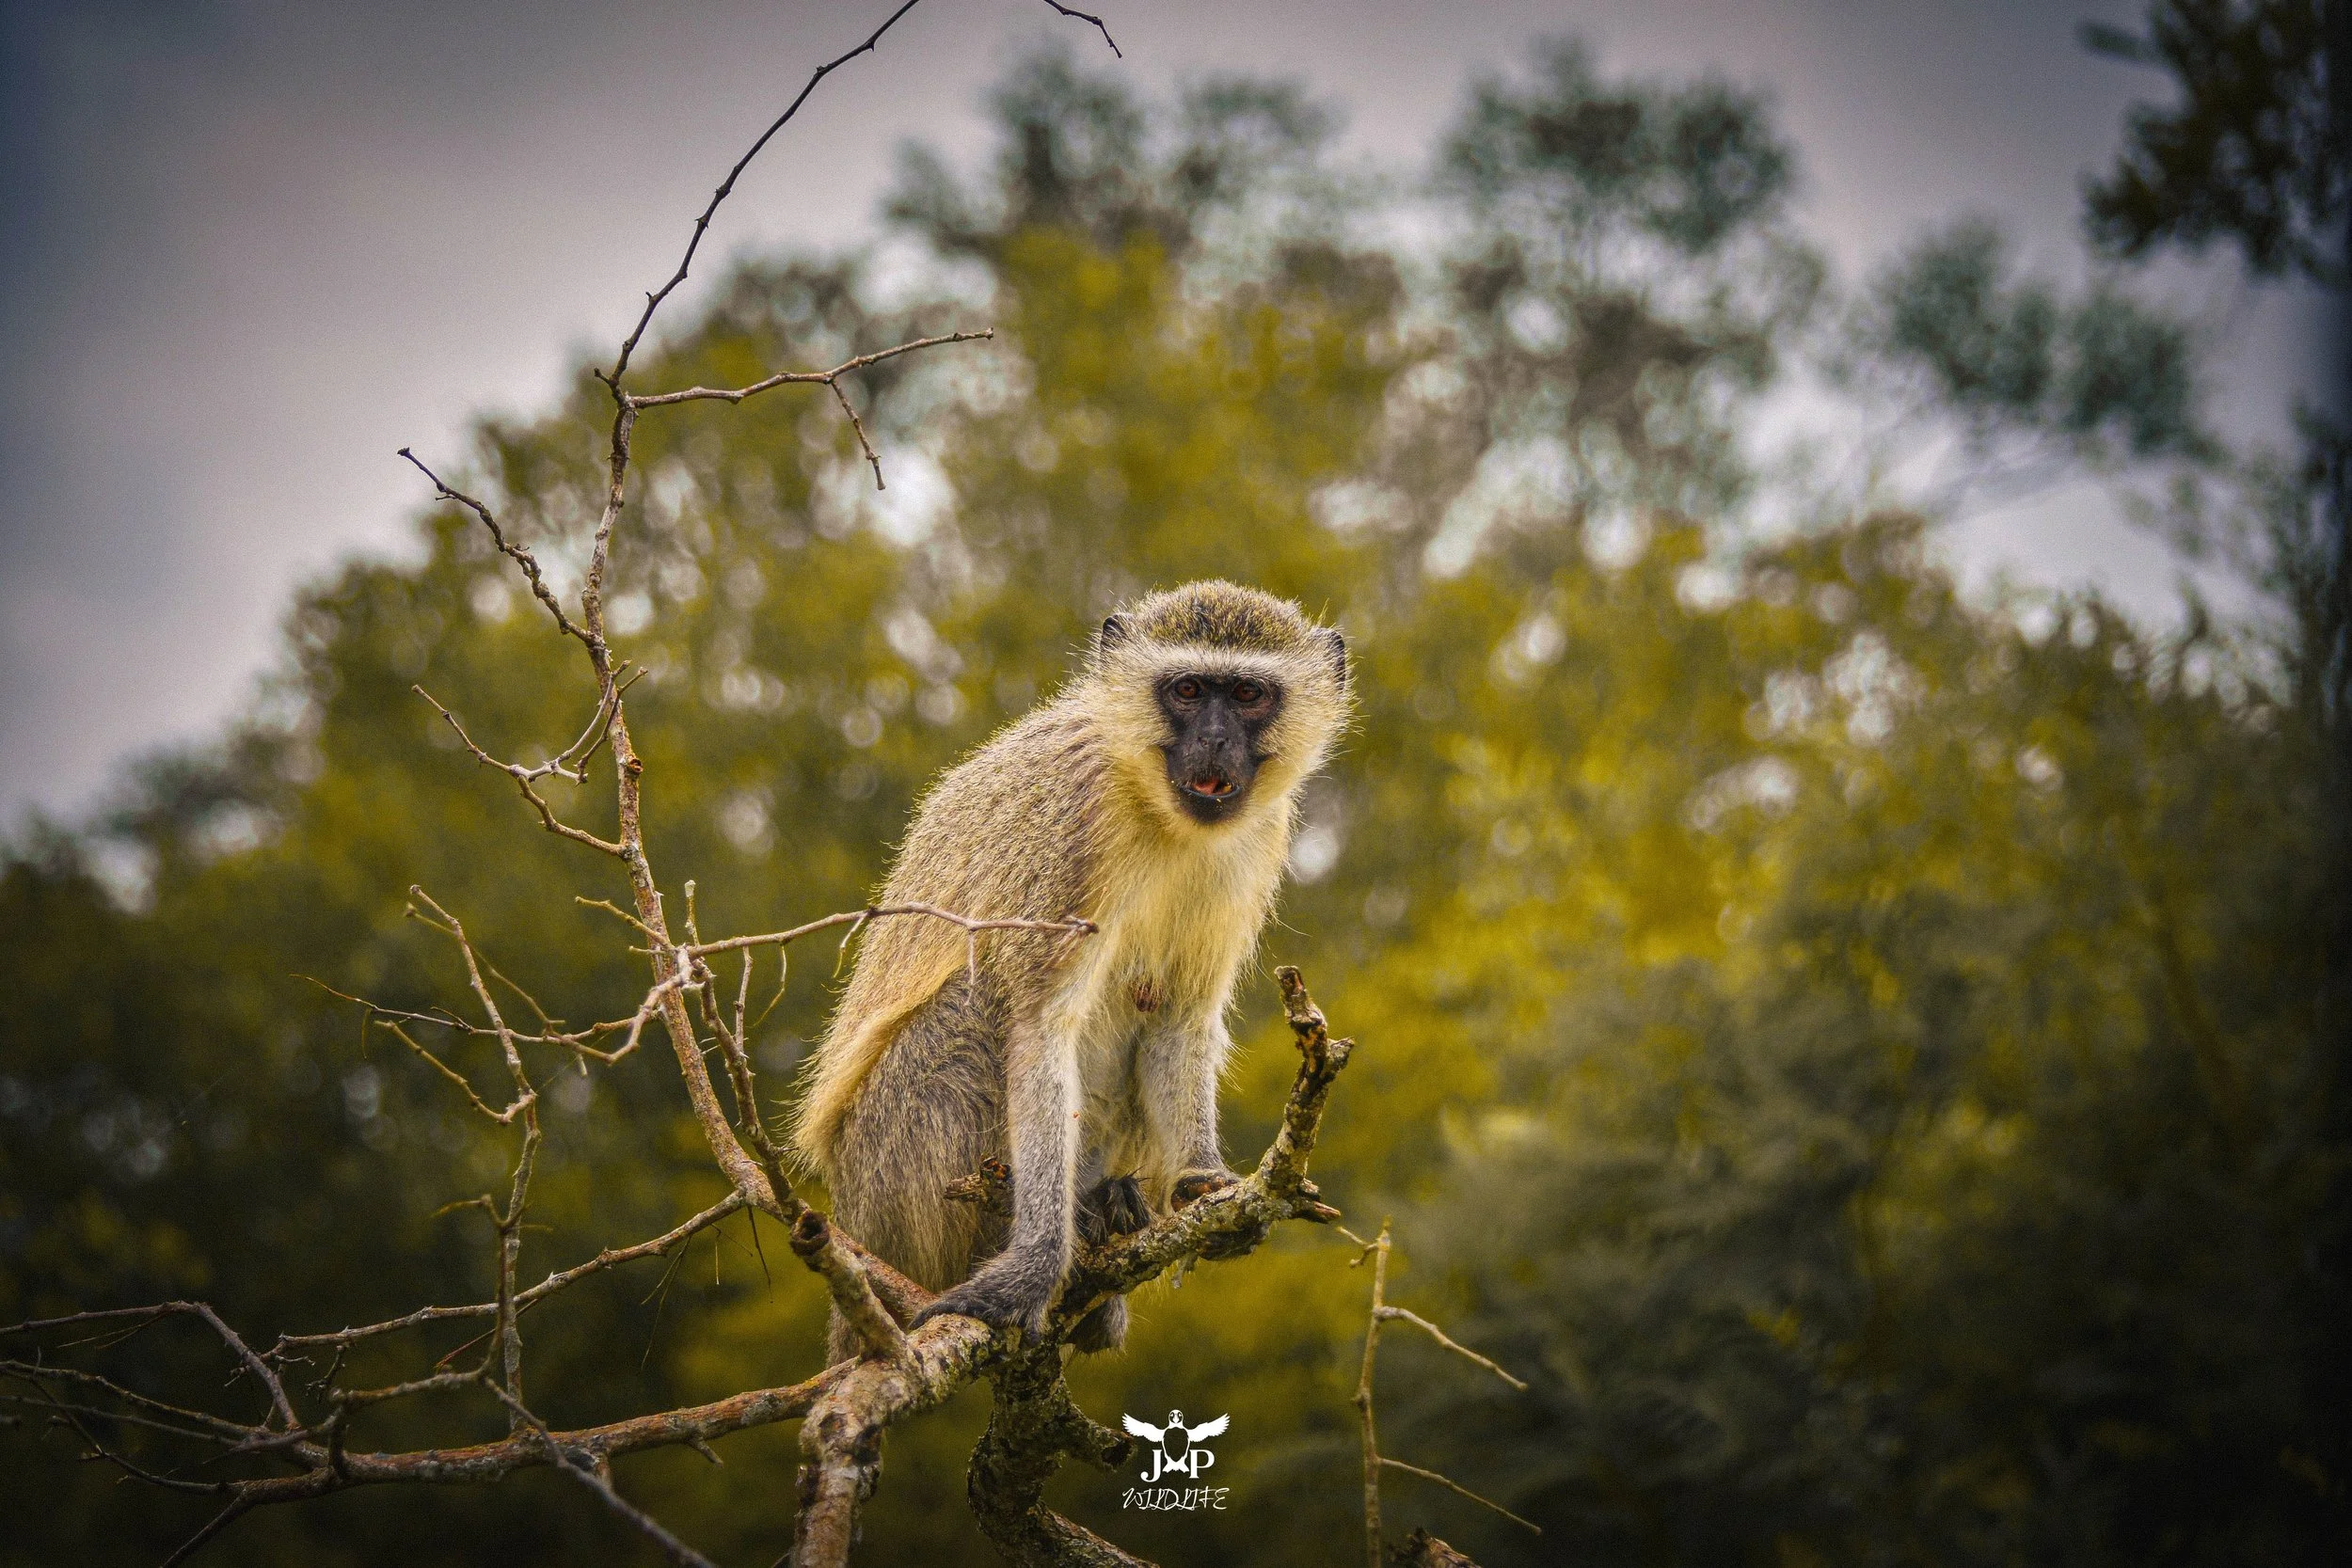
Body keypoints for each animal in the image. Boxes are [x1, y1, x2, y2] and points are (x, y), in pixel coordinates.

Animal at [789, 580, 1351, 1352]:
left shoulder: (1254, 842)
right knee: (969, 1010)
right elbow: (1038, 1027)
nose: (1213, 740)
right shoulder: (1071, 820)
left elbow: (1178, 1017)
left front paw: (1201, 1183)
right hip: (892, 1180)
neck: (1155, 808)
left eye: (1245, 694)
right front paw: (1032, 1267)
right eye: (1187, 689)